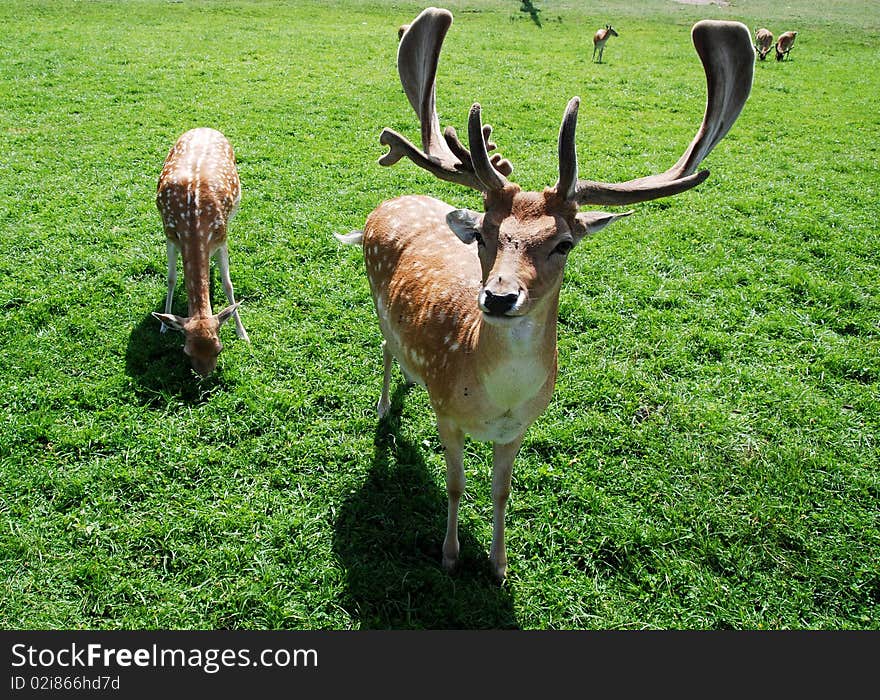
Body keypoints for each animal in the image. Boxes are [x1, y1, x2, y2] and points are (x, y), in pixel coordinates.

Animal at [153, 126, 249, 378]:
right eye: (186, 351)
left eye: (219, 348)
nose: (204, 375)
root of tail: (204, 128)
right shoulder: (170, 235)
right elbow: (171, 278)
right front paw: (164, 325)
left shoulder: (221, 237)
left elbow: (228, 284)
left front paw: (242, 332)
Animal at [340, 8, 752, 584]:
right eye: (484, 233)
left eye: (563, 243)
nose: (498, 298)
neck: (495, 398)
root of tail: (384, 206)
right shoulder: (448, 416)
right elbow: (455, 487)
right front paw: (449, 555)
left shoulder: (518, 430)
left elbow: (501, 492)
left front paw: (498, 566)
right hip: (376, 300)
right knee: (382, 347)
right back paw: (382, 409)